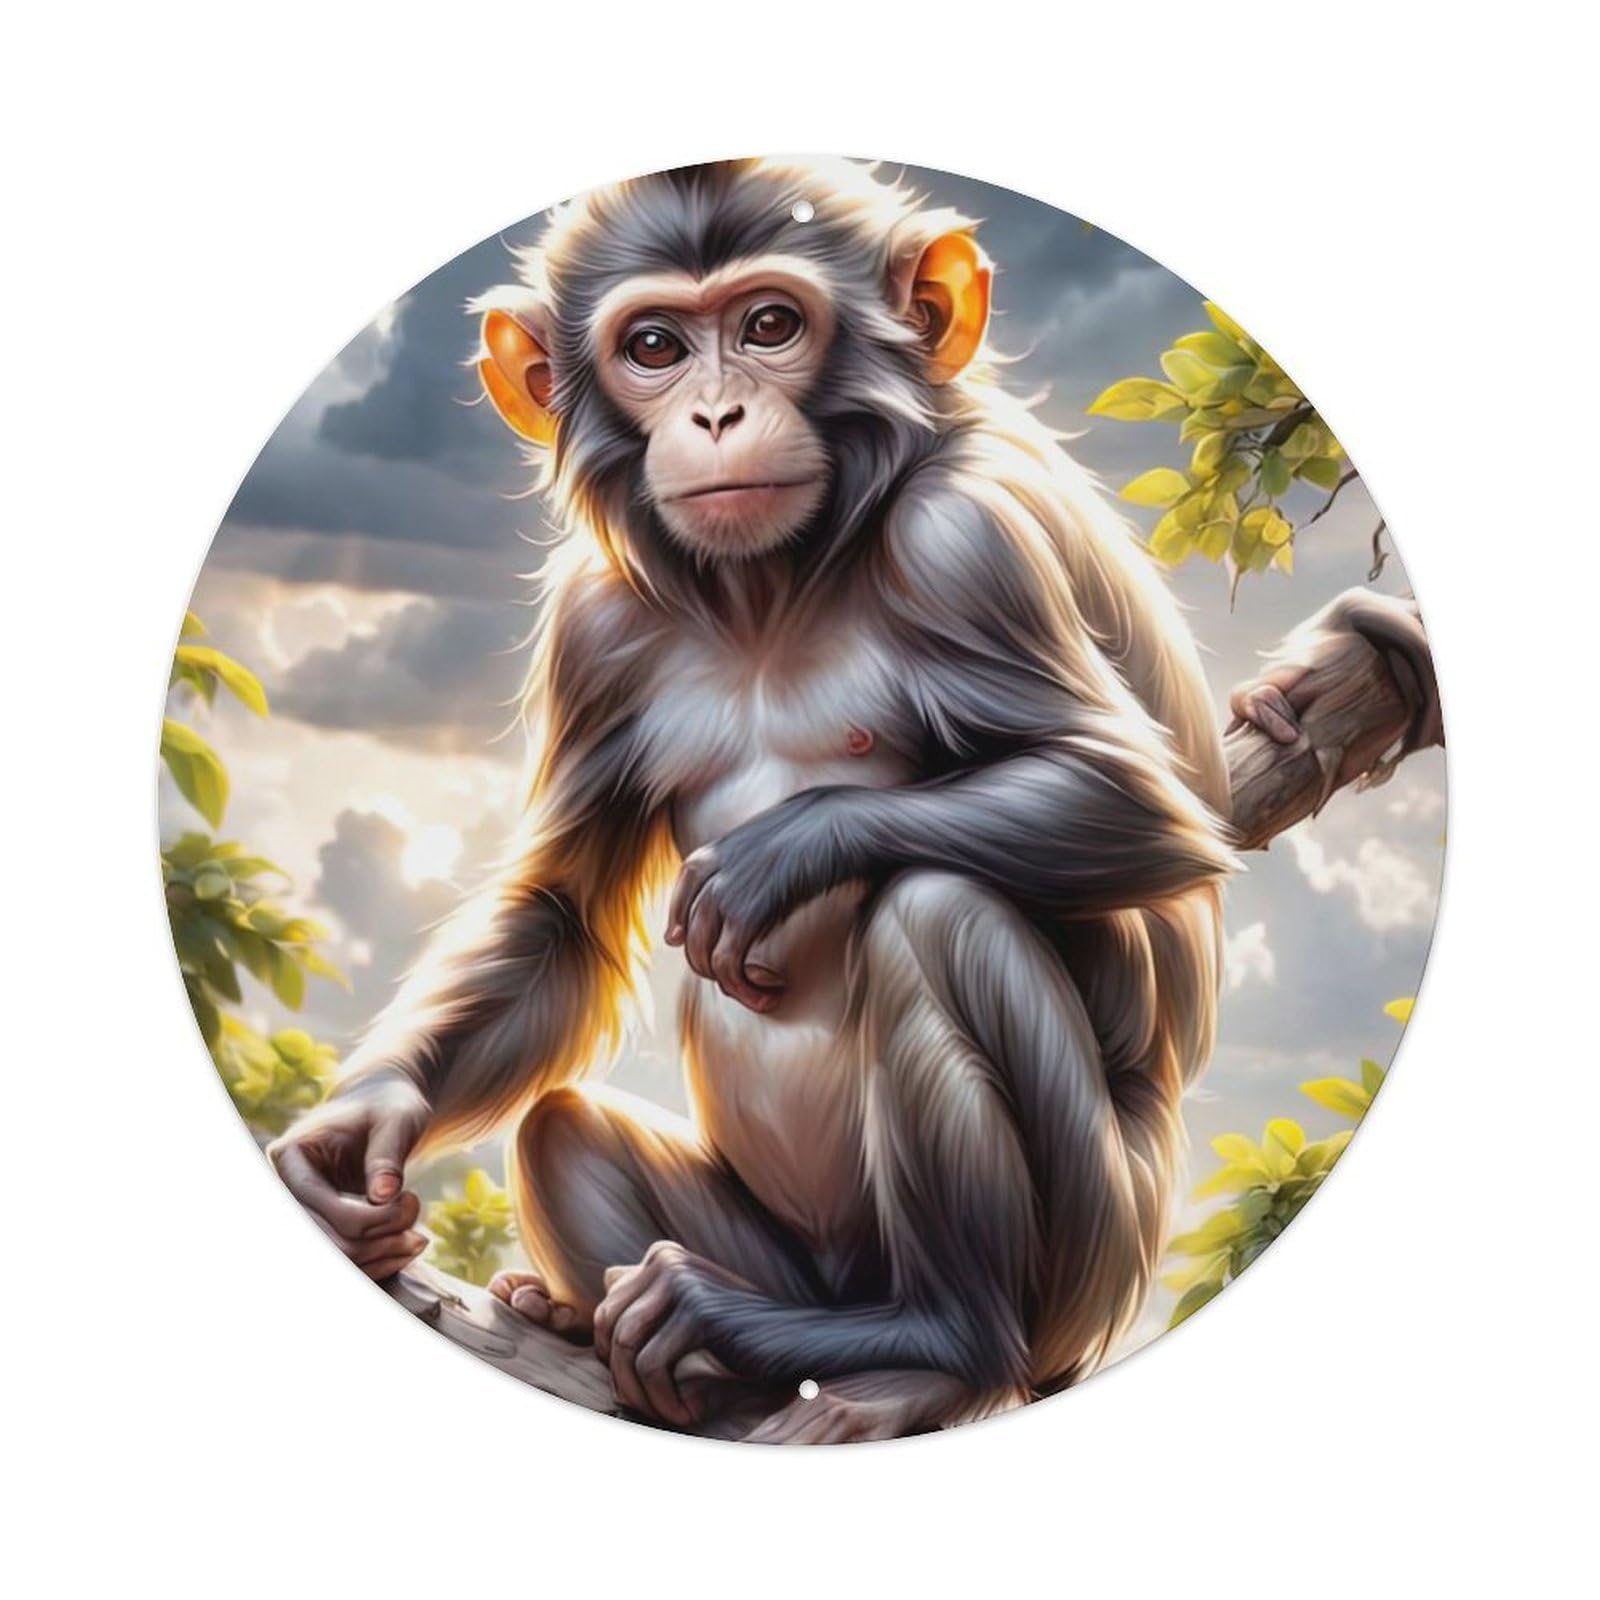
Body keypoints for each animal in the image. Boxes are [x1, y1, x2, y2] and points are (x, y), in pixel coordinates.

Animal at [270, 156, 1249, 1443]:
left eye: (771, 326)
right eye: (653, 346)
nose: (718, 413)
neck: (779, 583)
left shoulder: (966, 540)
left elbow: (1137, 797)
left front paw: (784, 852)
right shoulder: (597, 624)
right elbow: (561, 910)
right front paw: (360, 1128)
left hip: (1094, 1265)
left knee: (935, 916)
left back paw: (929, 1349)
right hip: (783, 1260)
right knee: (565, 1134)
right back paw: (669, 1346)